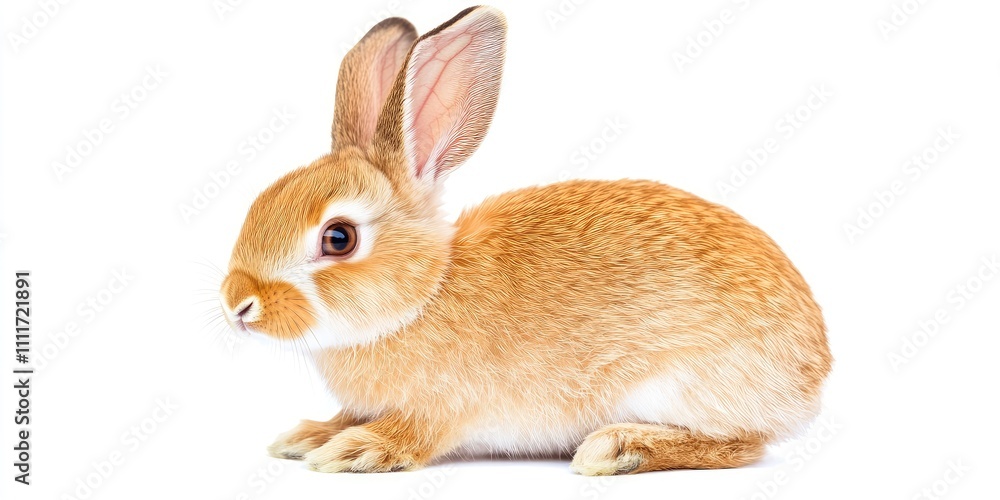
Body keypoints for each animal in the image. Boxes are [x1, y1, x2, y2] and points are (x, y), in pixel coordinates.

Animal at [218, 6, 832, 475]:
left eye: (339, 238)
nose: (237, 304)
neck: (424, 294)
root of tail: (813, 370)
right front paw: (307, 436)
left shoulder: (447, 404)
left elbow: (418, 433)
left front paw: (356, 451)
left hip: (680, 381)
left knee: (742, 444)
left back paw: (618, 448)